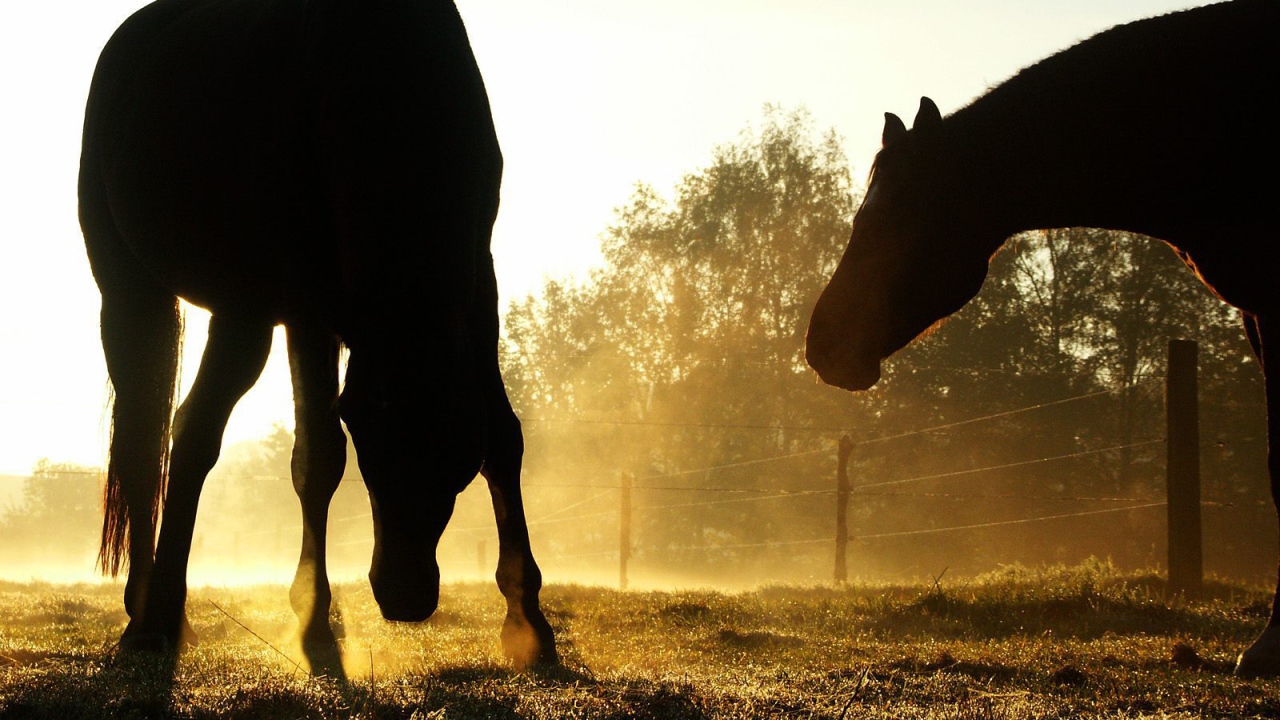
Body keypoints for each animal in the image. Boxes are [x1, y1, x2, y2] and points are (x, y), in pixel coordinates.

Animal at [79, 0, 556, 670]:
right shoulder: (306, 307)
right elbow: (319, 456)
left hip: (239, 312)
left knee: (185, 430)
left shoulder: (475, 286)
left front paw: (527, 622)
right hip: (136, 291)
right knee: (150, 441)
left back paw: (161, 611)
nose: (404, 595)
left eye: (451, 447)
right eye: (364, 425)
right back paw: (147, 619)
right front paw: (312, 620)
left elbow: (505, 440)